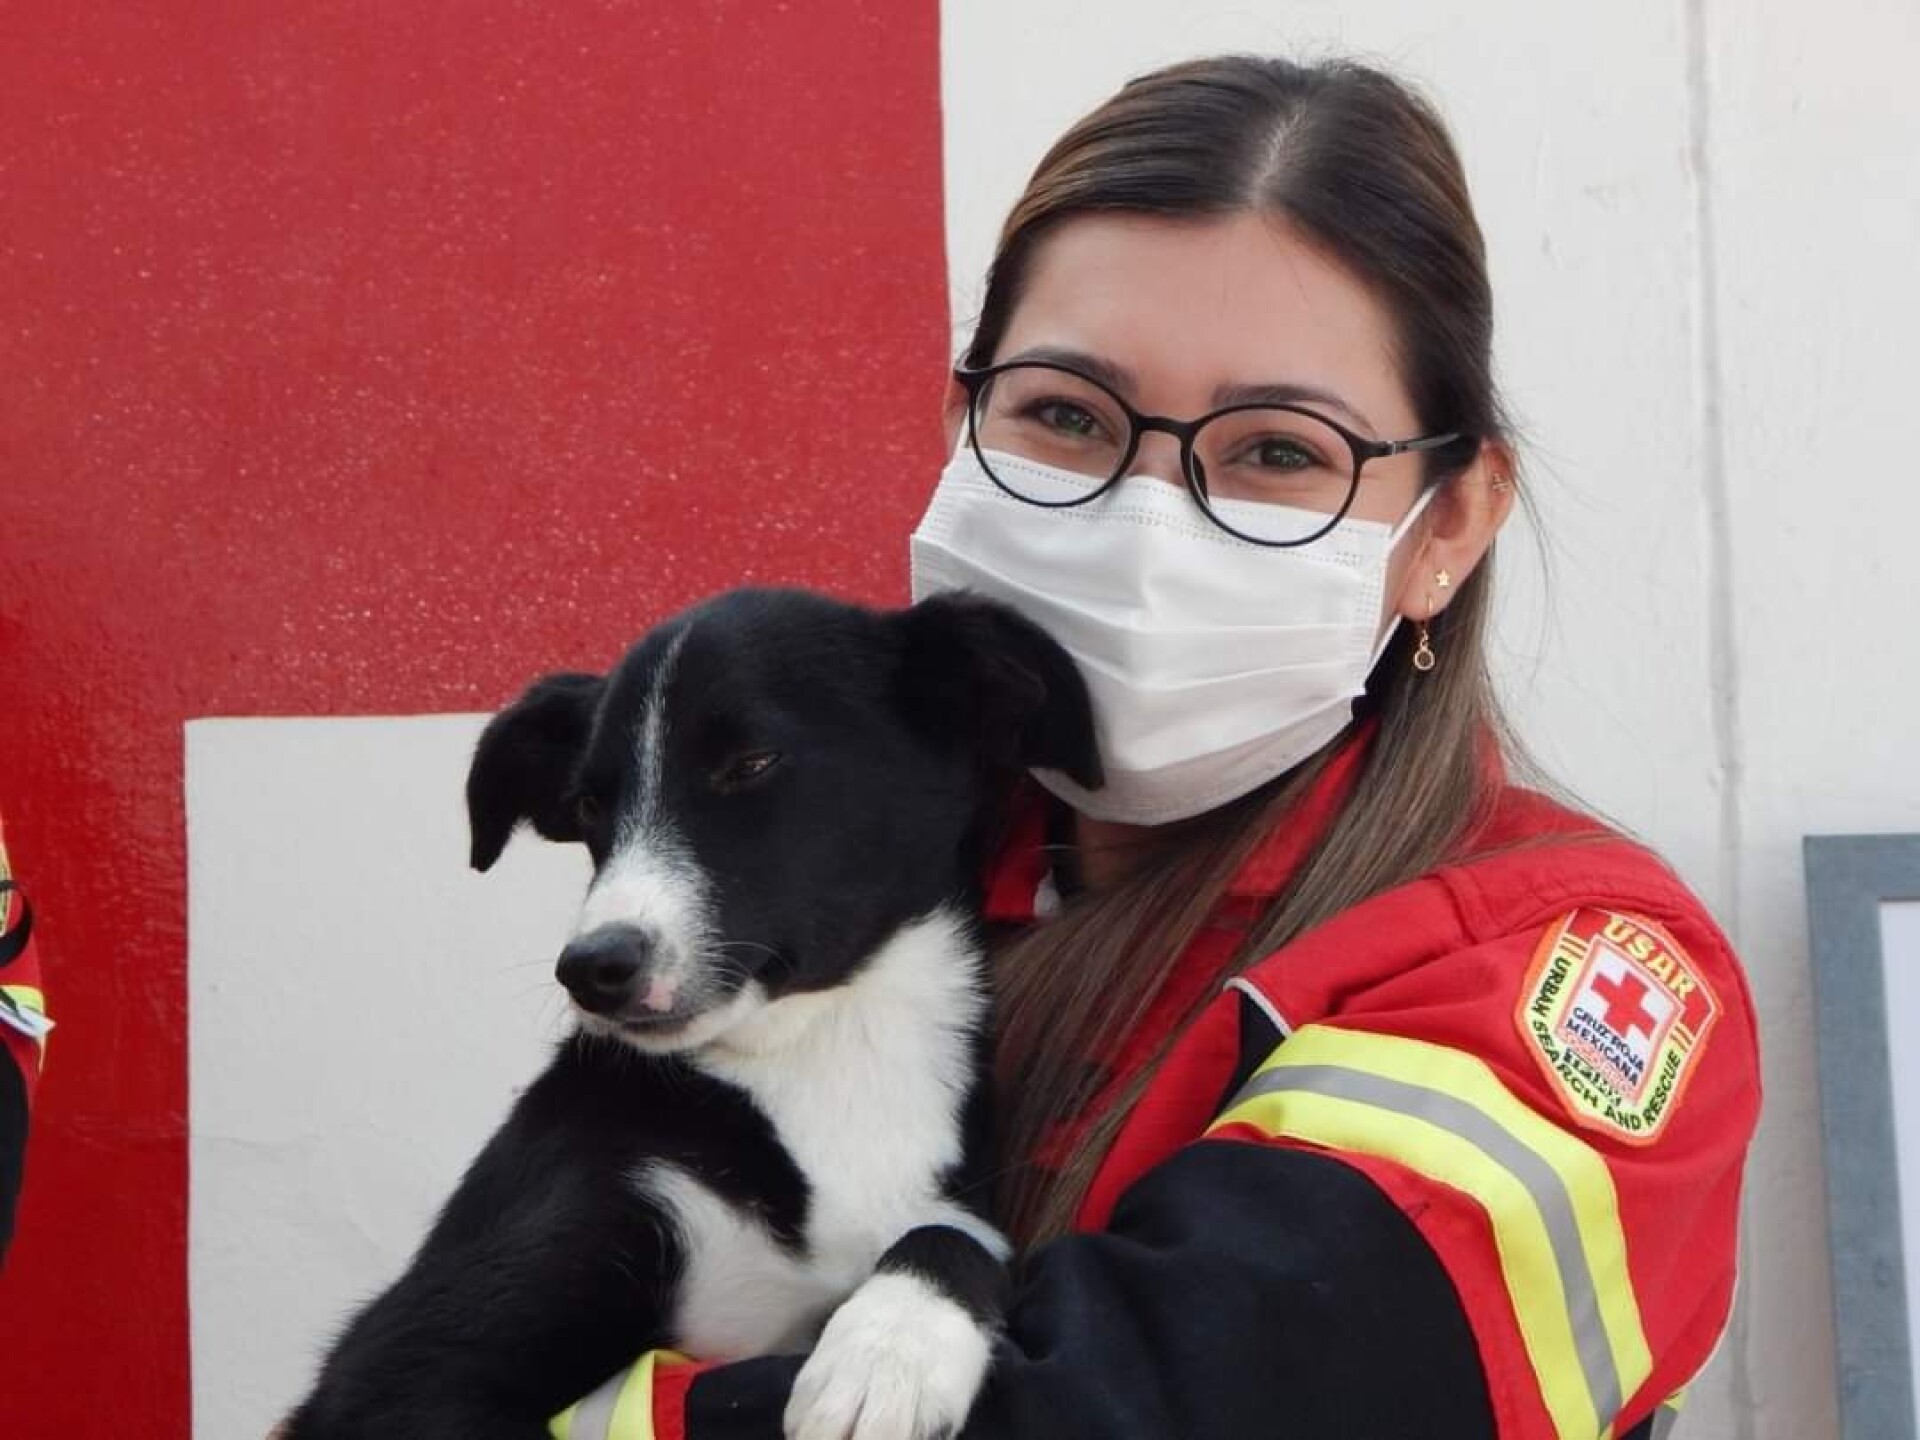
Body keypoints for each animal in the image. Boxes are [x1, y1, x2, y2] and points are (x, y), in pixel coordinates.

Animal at [280, 587, 1105, 1440]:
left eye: (750, 764)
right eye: (588, 803)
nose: (593, 968)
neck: (823, 1046)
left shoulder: (951, 1203)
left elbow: (954, 1234)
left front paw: (887, 1353)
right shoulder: (400, 1368)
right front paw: (886, 1355)